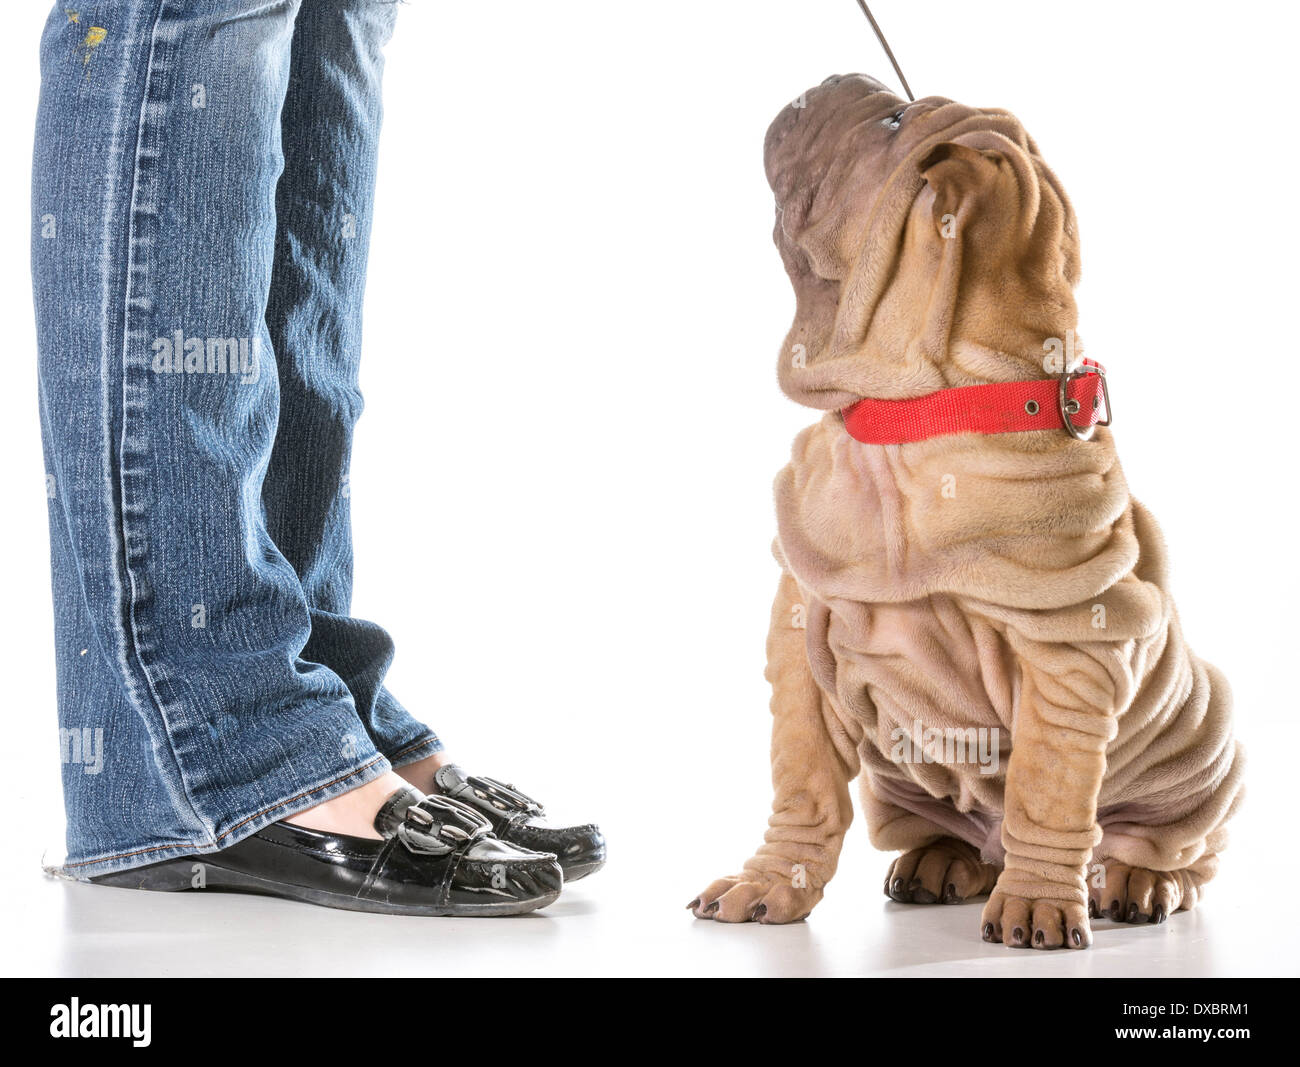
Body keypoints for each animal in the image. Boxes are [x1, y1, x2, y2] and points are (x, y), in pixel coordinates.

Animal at [696, 75, 1242, 946]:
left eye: (891, 120)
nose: (830, 80)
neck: (913, 416)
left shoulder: (1070, 658)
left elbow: (1048, 791)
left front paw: (1039, 903)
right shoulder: (798, 639)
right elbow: (802, 780)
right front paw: (769, 883)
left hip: (1205, 738)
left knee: (1171, 843)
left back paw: (1134, 879)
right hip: (899, 788)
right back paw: (942, 859)